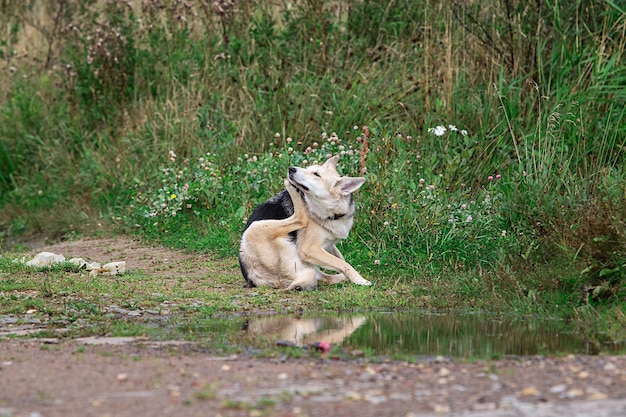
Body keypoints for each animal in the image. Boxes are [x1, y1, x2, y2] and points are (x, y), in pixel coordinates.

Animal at [236, 155, 368, 290]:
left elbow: (342, 260)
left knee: (327, 278)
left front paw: (355, 276)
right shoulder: (309, 249)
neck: (332, 214)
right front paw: (359, 279)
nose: (291, 169)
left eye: (316, 174)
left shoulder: (329, 245)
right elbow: (342, 263)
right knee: (300, 217)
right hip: (256, 227)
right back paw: (290, 187)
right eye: (307, 168)